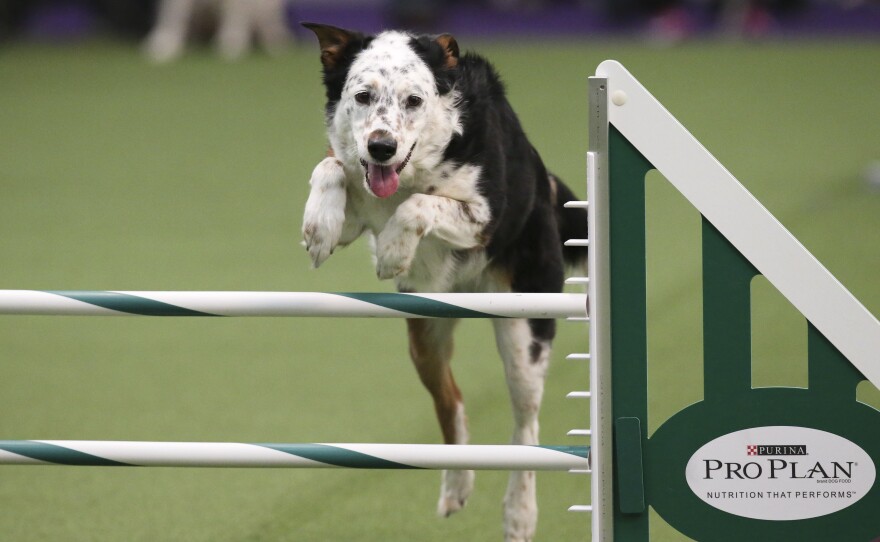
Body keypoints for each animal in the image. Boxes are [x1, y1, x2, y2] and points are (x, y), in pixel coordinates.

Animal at [300, 25, 584, 542]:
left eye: (414, 100)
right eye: (362, 96)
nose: (381, 147)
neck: (413, 169)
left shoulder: (483, 217)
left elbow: (421, 205)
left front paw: (393, 251)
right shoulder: (360, 205)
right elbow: (330, 166)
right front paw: (319, 228)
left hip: (523, 326)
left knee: (526, 424)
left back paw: (520, 514)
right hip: (424, 330)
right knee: (451, 400)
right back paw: (455, 486)